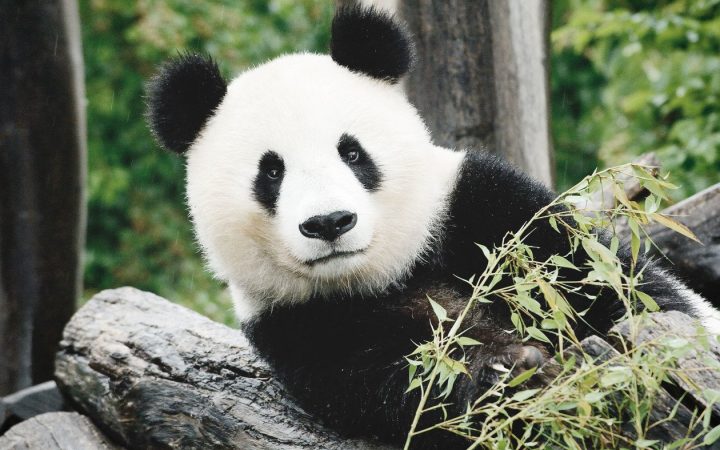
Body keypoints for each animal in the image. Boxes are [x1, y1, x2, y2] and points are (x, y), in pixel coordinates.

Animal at [145, 6, 720, 449]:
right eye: (271, 172)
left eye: (352, 152)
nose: (330, 222)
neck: (389, 270)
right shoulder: (300, 324)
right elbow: (407, 387)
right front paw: (508, 372)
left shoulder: (480, 207)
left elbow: (617, 291)